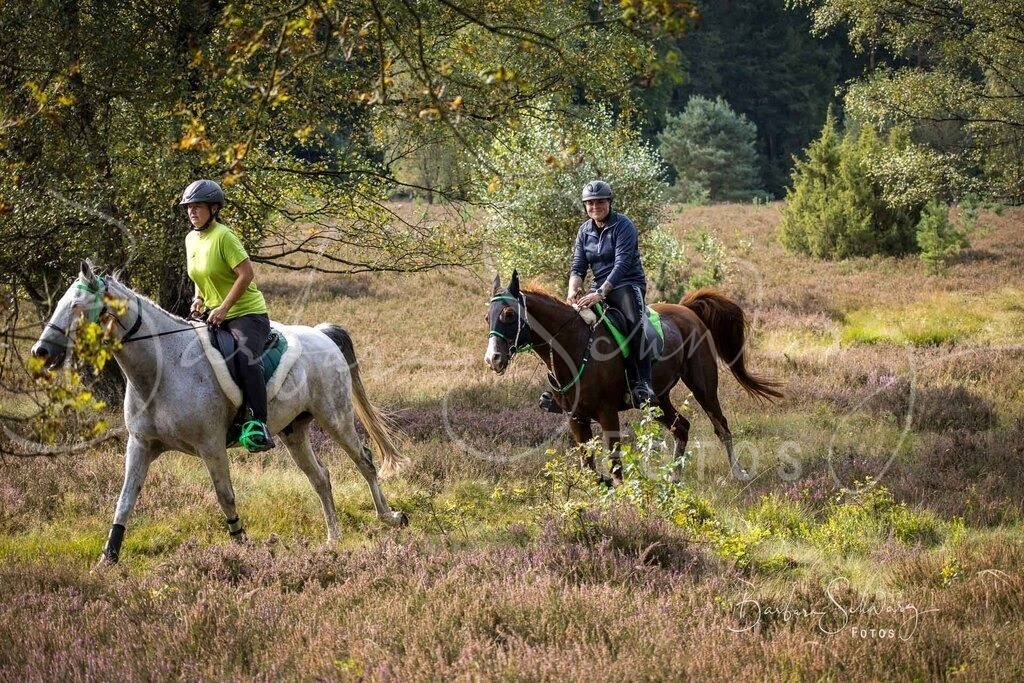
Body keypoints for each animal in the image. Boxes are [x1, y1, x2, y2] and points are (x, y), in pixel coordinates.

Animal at [30, 261, 408, 565]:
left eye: (77, 307)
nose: (41, 351)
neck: (162, 369)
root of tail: (322, 334)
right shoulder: (141, 444)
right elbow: (125, 501)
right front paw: (107, 559)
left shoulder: (211, 446)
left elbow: (225, 497)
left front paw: (242, 547)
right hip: (294, 432)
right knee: (321, 478)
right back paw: (333, 538)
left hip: (336, 418)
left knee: (365, 462)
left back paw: (390, 518)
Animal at [483, 270, 782, 483]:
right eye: (488, 317)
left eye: (509, 315)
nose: (493, 359)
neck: (573, 346)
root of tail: (687, 310)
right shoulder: (574, 417)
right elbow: (589, 467)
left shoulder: (607, 413)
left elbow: (615, 464)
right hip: (657, 399)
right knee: (681, 427)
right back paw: (674, 478)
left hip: (703, 387)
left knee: (721, 426)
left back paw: (739, 473)